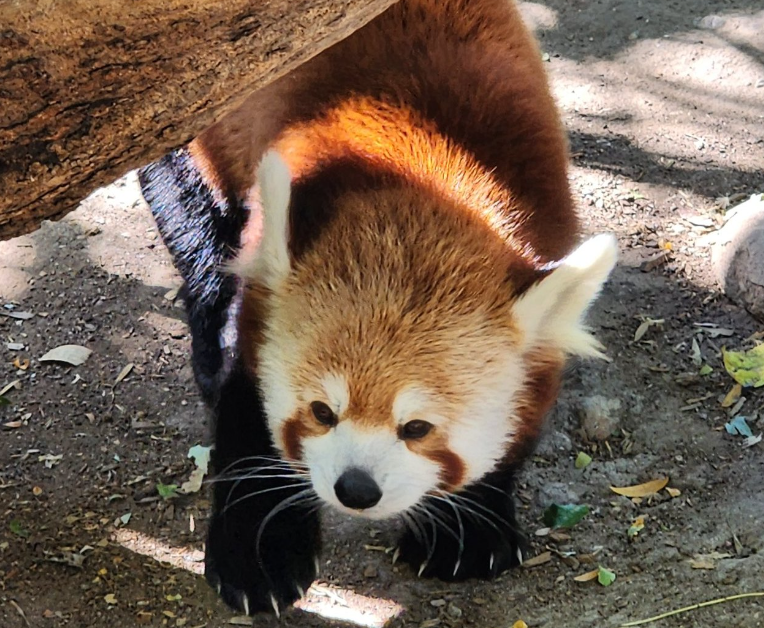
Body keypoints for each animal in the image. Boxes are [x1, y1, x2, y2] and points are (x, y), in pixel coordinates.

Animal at [136, 0, 616, 620]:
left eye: (417, 427)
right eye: (321, 411)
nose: (356, 490)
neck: (431, 174)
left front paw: (468, 529)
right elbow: (243, 404)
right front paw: (258, 553)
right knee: (196, 222)